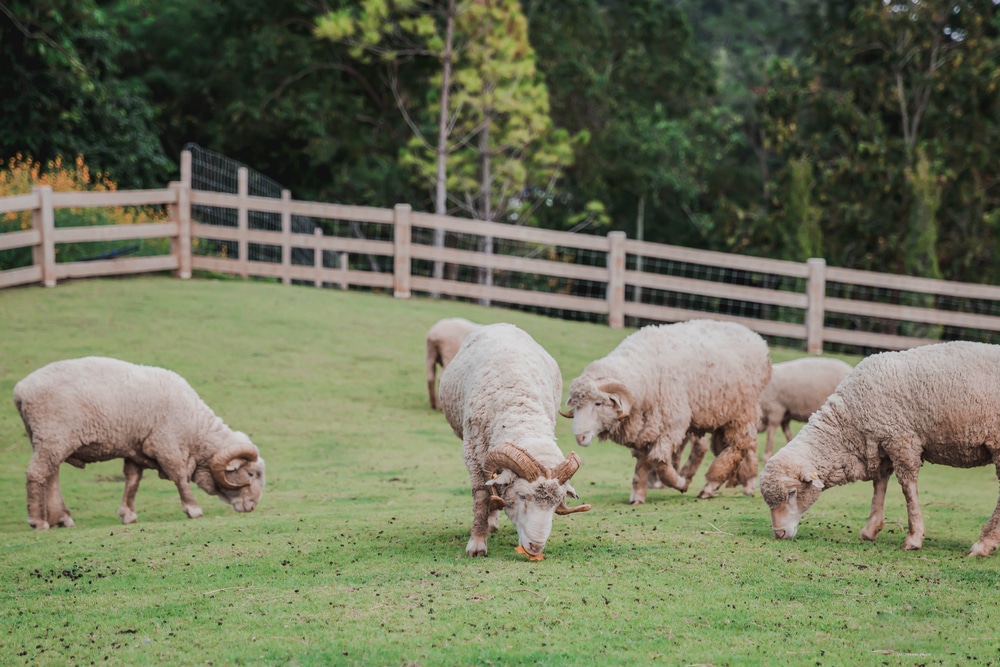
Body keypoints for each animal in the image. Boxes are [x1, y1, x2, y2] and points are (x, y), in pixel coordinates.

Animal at [14, 358, 266, 528]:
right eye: (250, 474)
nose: (252, 506)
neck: (195, 428)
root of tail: (20, 390)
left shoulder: (135, 449)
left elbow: (133, 480)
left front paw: (128, 514)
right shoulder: (165, 444)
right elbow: (179, 476)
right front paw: (193, 509)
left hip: (49, 438)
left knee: (51, 475)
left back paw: (62, 518)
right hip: (52, 435)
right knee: (37, 473)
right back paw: (38, 521)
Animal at [442, 324, 588, 560]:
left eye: (557, 502)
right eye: (521, 495)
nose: (535, 547)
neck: (518, 407)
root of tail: (503, 324)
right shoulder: (473, 452)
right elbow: (482, 496)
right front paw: (477, 544)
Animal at [564, 318, 772, 500]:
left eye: (598, 403)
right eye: (576, 405)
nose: (580, 437)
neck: (645, 376)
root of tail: (757, 338)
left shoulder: (672, 425)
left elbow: (658, 461)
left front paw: (681, 483)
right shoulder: (645, 430)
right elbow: (641, 465)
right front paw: (637, 496)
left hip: (742, 412)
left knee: (738, 447)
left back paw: (712, 486)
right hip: (723, 416)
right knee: (735, 447)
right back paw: (740, 482)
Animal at [756, 342, 1000, 556]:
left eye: (792, 492)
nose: (779, 533)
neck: (848, 421)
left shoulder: (901, 439)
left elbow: (908, 488)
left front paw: (914, 538)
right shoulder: (880, 444)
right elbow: (879, 484)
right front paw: (871, 529)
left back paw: (983, 544)